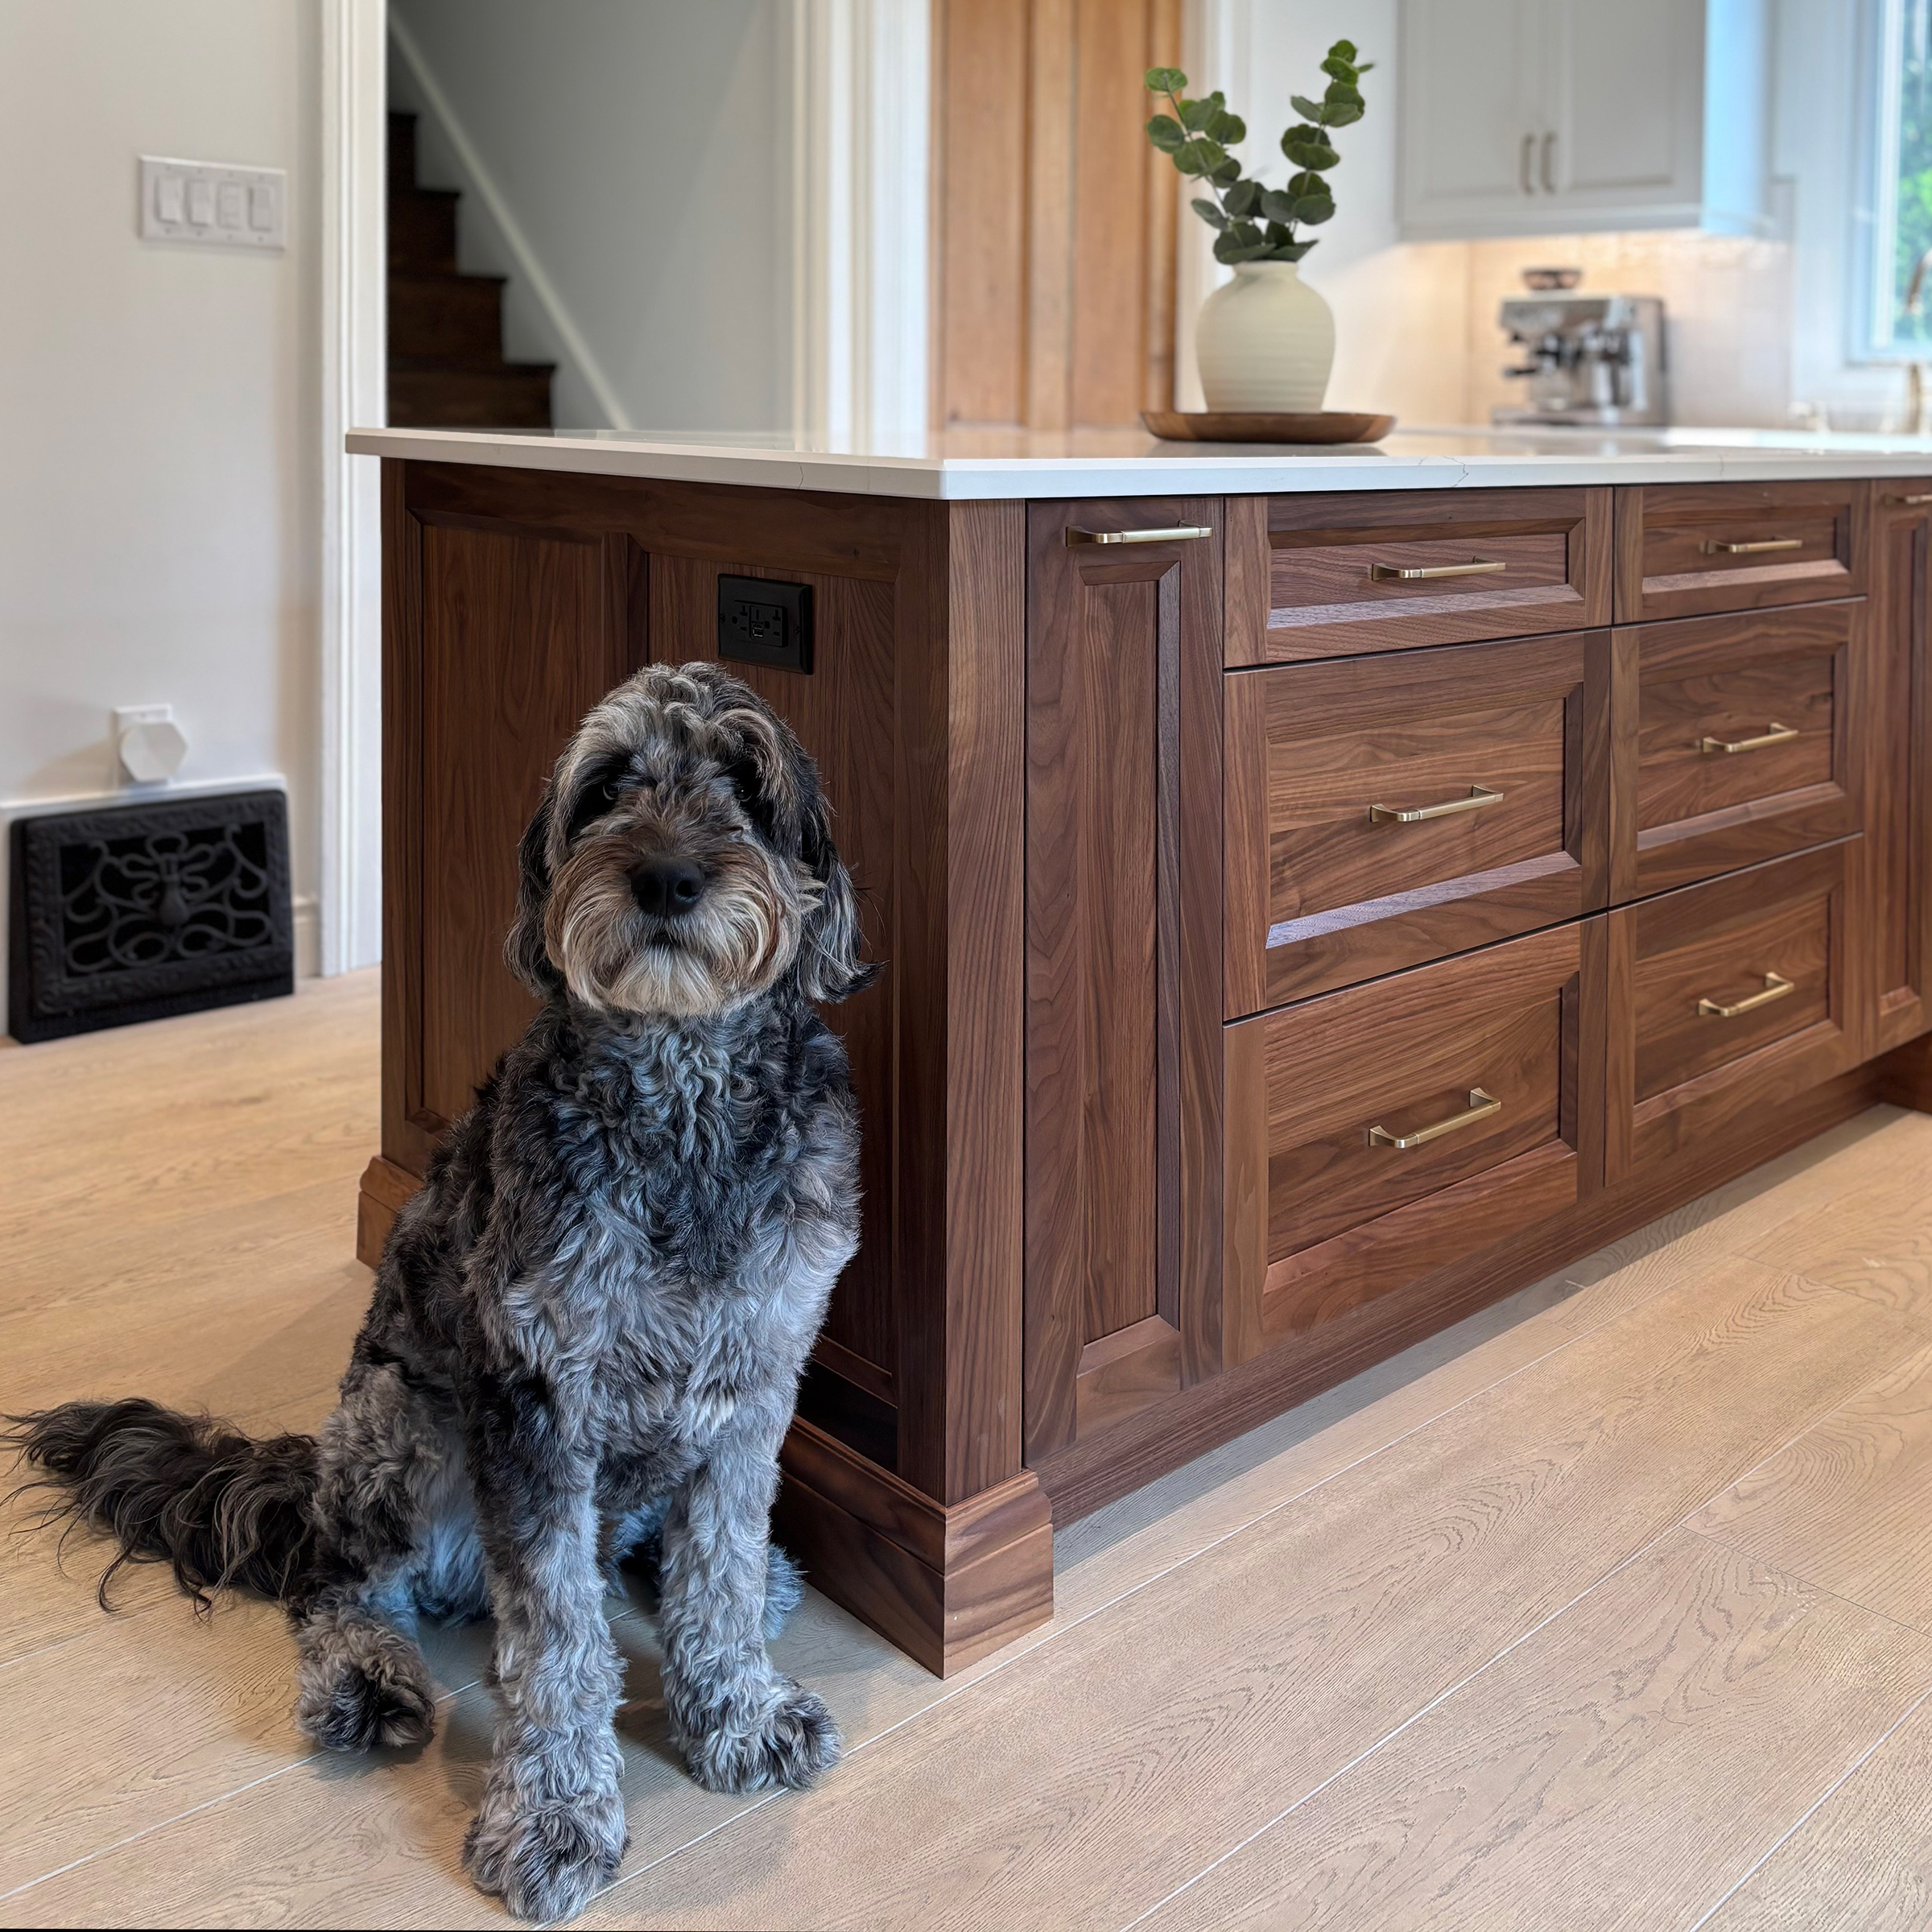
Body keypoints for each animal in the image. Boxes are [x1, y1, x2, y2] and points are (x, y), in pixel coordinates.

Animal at [5, 661, 876, 1922]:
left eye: (747, 783)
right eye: (608, 785)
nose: (667, 877)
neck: (682, 1108)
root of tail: (303, 1474)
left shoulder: (756, 1381)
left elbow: (714, 1565)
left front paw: (738, 1711)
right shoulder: (537, 1405)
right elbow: (554, 1642)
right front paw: (556, 1817)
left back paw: (729, 1578)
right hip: (401, 1425)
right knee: (341, 1582)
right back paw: (365, 1676)